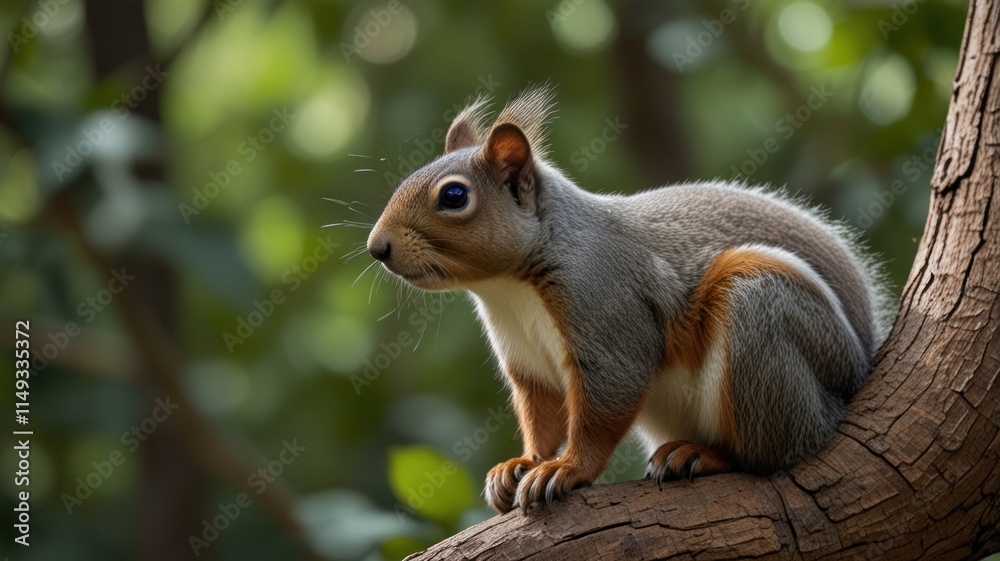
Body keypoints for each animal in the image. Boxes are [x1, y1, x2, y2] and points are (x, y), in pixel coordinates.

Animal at [366, 86, 892, 514]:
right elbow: (542, 412)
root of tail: (853, 370)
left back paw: (703, 455)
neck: (509, 288)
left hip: (763, 313)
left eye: (454, 196)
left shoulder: (608, 312)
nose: (377, 247)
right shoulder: (527, 360)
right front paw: (522, 462)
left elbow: (605, 405)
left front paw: (566, 469)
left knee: (773, 450)